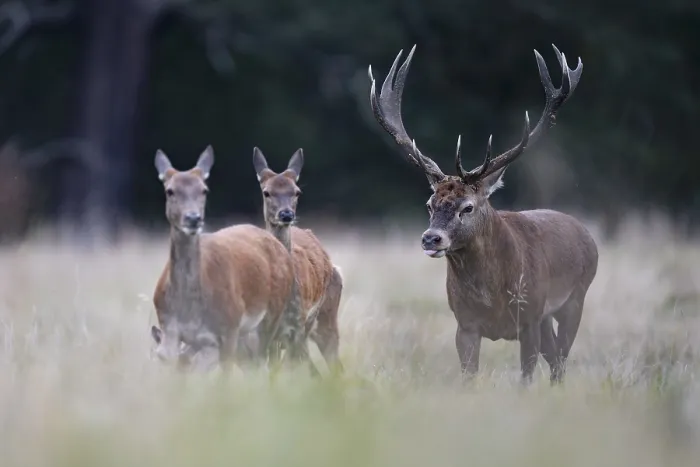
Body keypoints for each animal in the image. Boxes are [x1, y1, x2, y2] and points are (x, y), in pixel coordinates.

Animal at [149, 145, 302, 372]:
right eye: (170, 190)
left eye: (204, 190)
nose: (193, 218)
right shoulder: (170, 329)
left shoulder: (230, 327)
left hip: (270, 316)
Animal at [245, 147, 344, 374]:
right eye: (266, 192)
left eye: (297, 192)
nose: (286, 214)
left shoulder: (297, 324)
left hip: (325, 317)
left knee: (333, 362)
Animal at [367, 44, 598, 385]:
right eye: (429, 203)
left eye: (468, 207)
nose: (431, 239)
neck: (493, 297)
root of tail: (586, 234)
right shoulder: (464, 325)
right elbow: (468, 379)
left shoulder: (529, 317)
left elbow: (526, 379)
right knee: (556, 358)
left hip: (575, 298)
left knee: (561, 361)